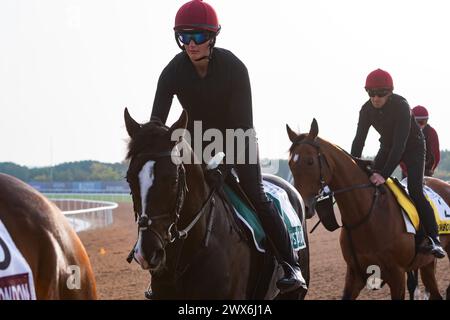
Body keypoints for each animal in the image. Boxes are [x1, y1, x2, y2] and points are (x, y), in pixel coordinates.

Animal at [286, 119, 448, 298]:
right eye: (290, 164)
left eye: (310, 161)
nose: (303, 206)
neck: (365, 215)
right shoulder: (354, 274)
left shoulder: (397, 275)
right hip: (427, 263)